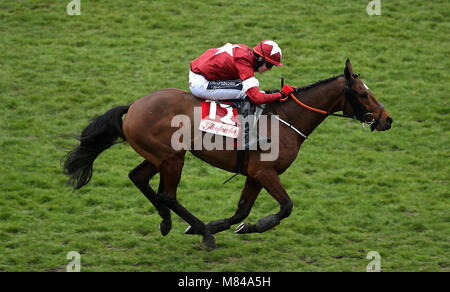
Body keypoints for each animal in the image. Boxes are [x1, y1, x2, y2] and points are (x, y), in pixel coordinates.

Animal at [63, 58, 394, 249]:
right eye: (363, 93)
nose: (387, 119)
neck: (285, 119)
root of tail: (133, 107)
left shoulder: (255, 174)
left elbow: (242, 211)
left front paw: (233, 226)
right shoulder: (265, 171)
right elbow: (286, 207)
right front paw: (246, 226)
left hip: (159, 156)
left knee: (138, 178)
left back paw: (169, 222)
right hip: (173, 158)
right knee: (167, 193)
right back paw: (201, 233)